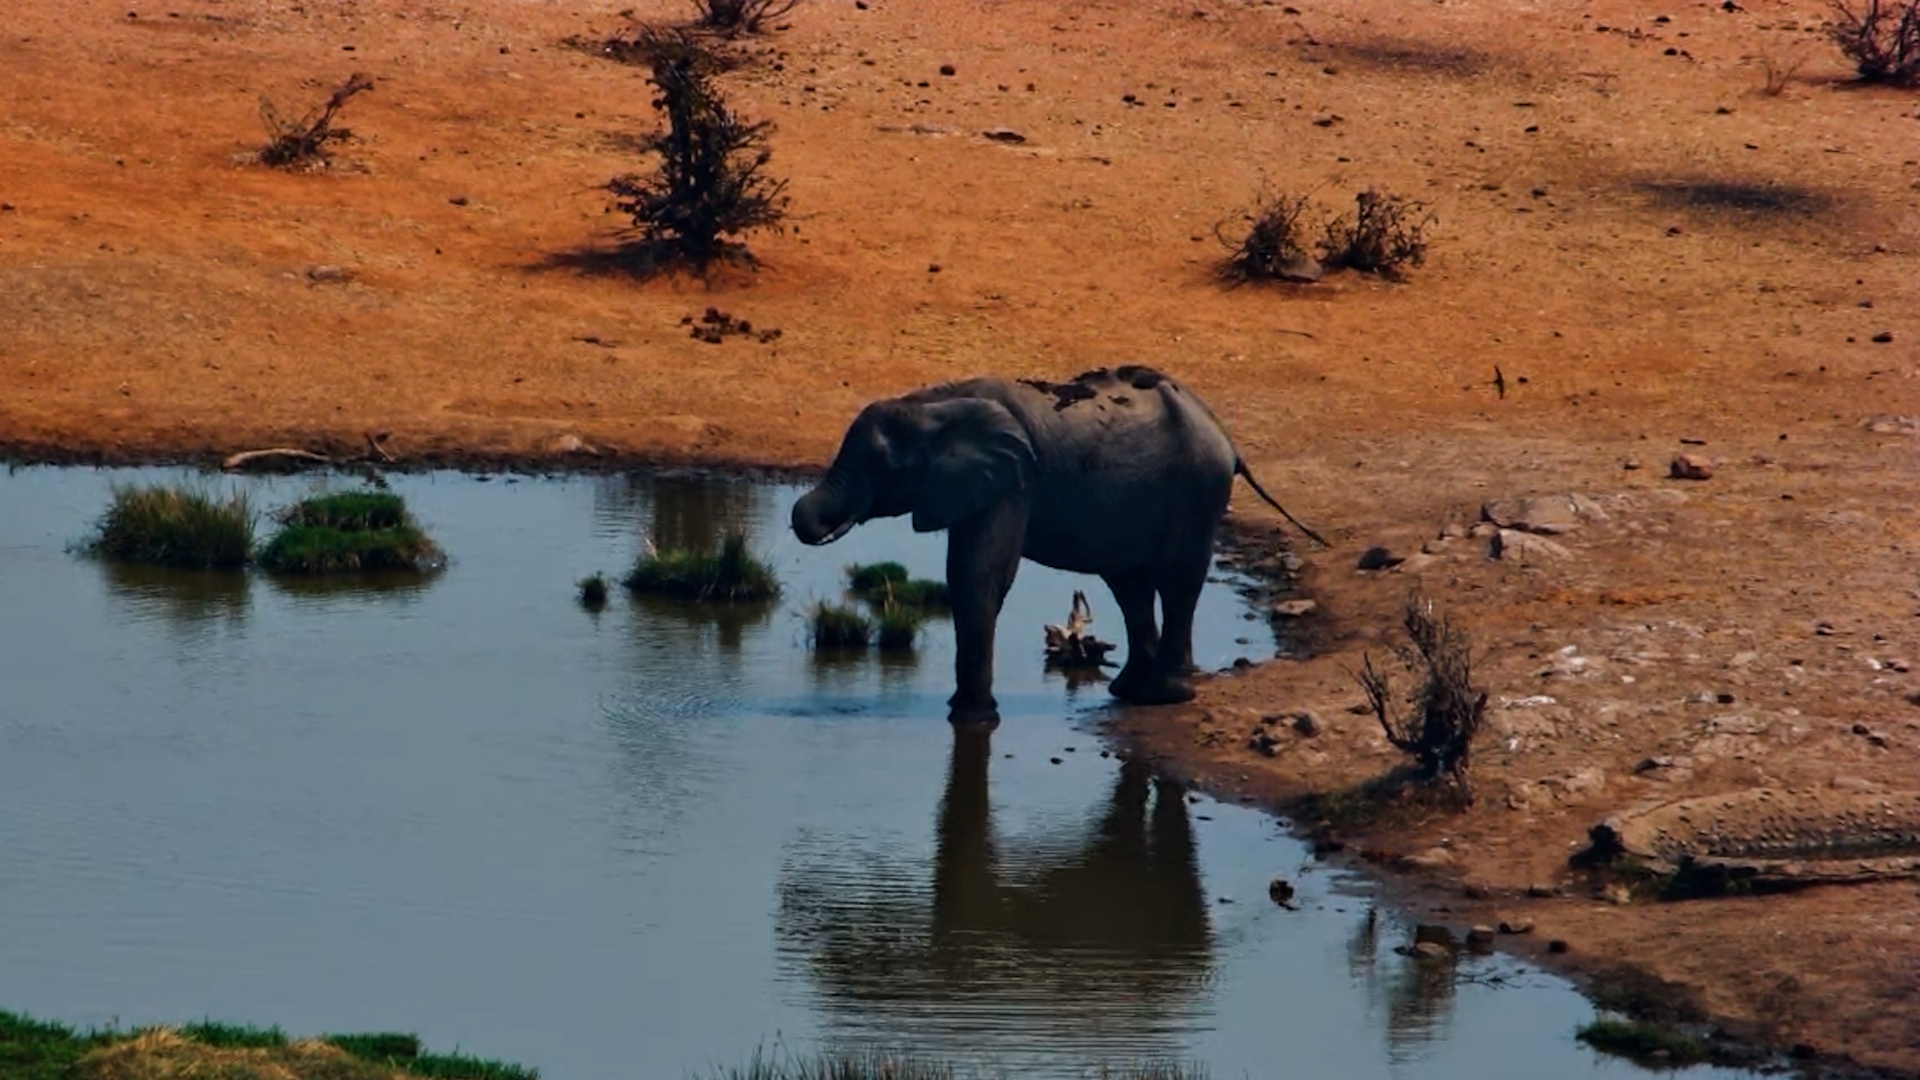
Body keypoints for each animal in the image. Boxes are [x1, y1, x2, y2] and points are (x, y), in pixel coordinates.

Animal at [790, 365, 1324, 723]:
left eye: (881, 465)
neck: (933, 400)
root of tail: (1227, 438)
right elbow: (969, 570)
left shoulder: (1014, 480)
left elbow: (979, 575)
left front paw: (970, 719)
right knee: (1129, 583)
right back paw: (1130, 692)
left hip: (1197, 487)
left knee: (1176, 579)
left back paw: (1165, 697)